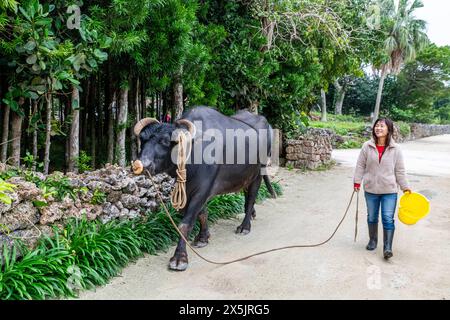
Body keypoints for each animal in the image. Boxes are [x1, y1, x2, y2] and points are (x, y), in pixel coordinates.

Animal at [132, 105, 276, 270]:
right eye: (143, 139)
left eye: (166, 142)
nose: (141, 164)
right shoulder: (189, 188)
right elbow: (202, 214)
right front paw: (202, 238)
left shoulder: (203, 189)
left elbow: (185, 223)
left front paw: (179, 258)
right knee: (247, 196)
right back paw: (251, 214)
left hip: (258, 174)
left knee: (252, 197)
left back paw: (244, 227)